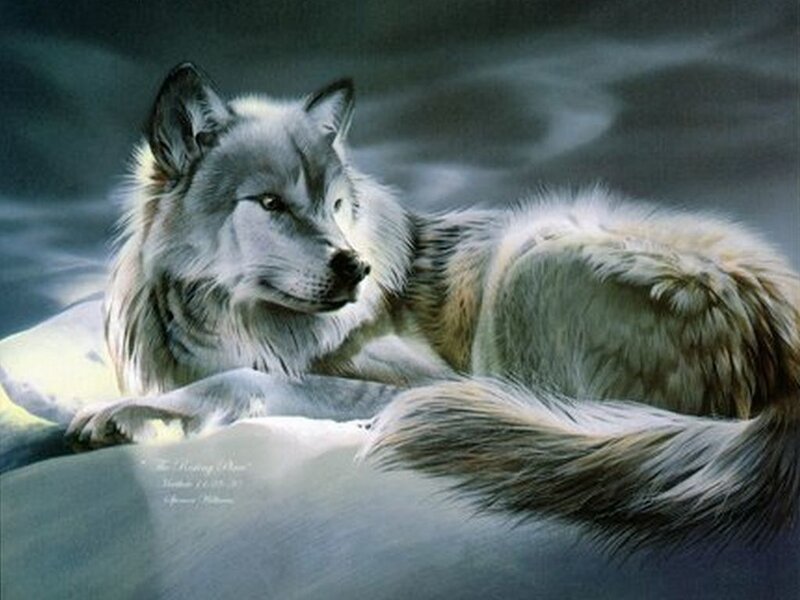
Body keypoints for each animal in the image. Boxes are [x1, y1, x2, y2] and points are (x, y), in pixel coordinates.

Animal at [68, 63, 799, 547]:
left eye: (337, 206)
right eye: (271, 203)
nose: (355, 266)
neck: (239, 325)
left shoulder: (416, 379)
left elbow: (248, 382)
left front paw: (132, 416)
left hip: (528, 262)